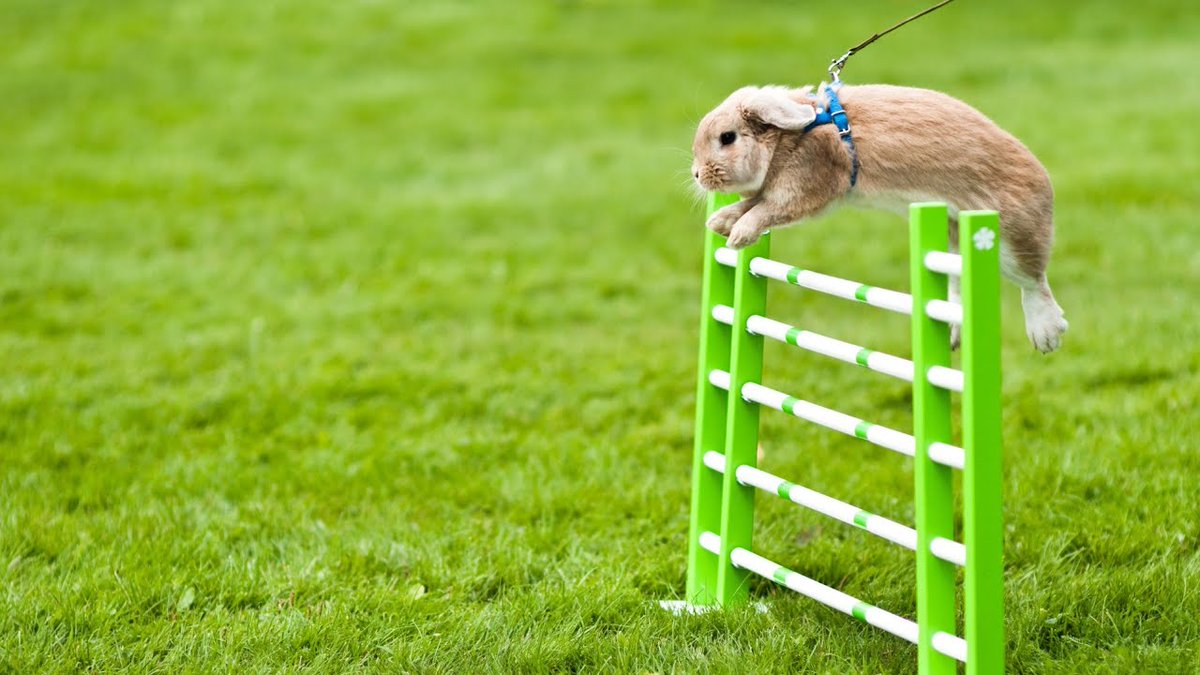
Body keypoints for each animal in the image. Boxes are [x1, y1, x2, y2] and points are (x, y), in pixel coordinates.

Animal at [690, 83, 1069, 353]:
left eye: (727, 138)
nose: (697, 174)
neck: (794, 134)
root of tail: (1043, 179)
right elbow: (750, 203)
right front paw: (720, 222)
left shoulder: (802, 189)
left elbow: (763, 211)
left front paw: (738, 235)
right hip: (952, 241)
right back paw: (952, 334)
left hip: (1008, 241)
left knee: (1033, 282)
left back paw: (1047, 334)